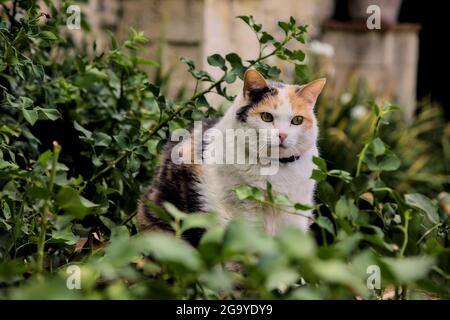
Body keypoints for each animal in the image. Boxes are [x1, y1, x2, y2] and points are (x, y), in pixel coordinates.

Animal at [135, 70, 326, 245]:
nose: (283, 135)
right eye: (266, 117)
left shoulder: (295, 215)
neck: (276, 168)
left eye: (297, 120)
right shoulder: (245, 213)